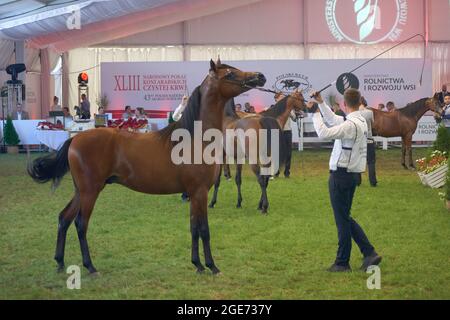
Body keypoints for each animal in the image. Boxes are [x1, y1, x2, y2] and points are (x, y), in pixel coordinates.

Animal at [27, 59, 268, 276]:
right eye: (230, 74)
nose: (260, 76)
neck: (195, 137)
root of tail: (75, 139)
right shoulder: (199, 192)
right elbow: (204, 230)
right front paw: (211, 266)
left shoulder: (194, 194)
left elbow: (193, 229)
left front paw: (198, 264)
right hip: (90, 191)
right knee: (80, 223)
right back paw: (90, 267)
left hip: (82, 190)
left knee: (64, 218)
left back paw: (60, 262)